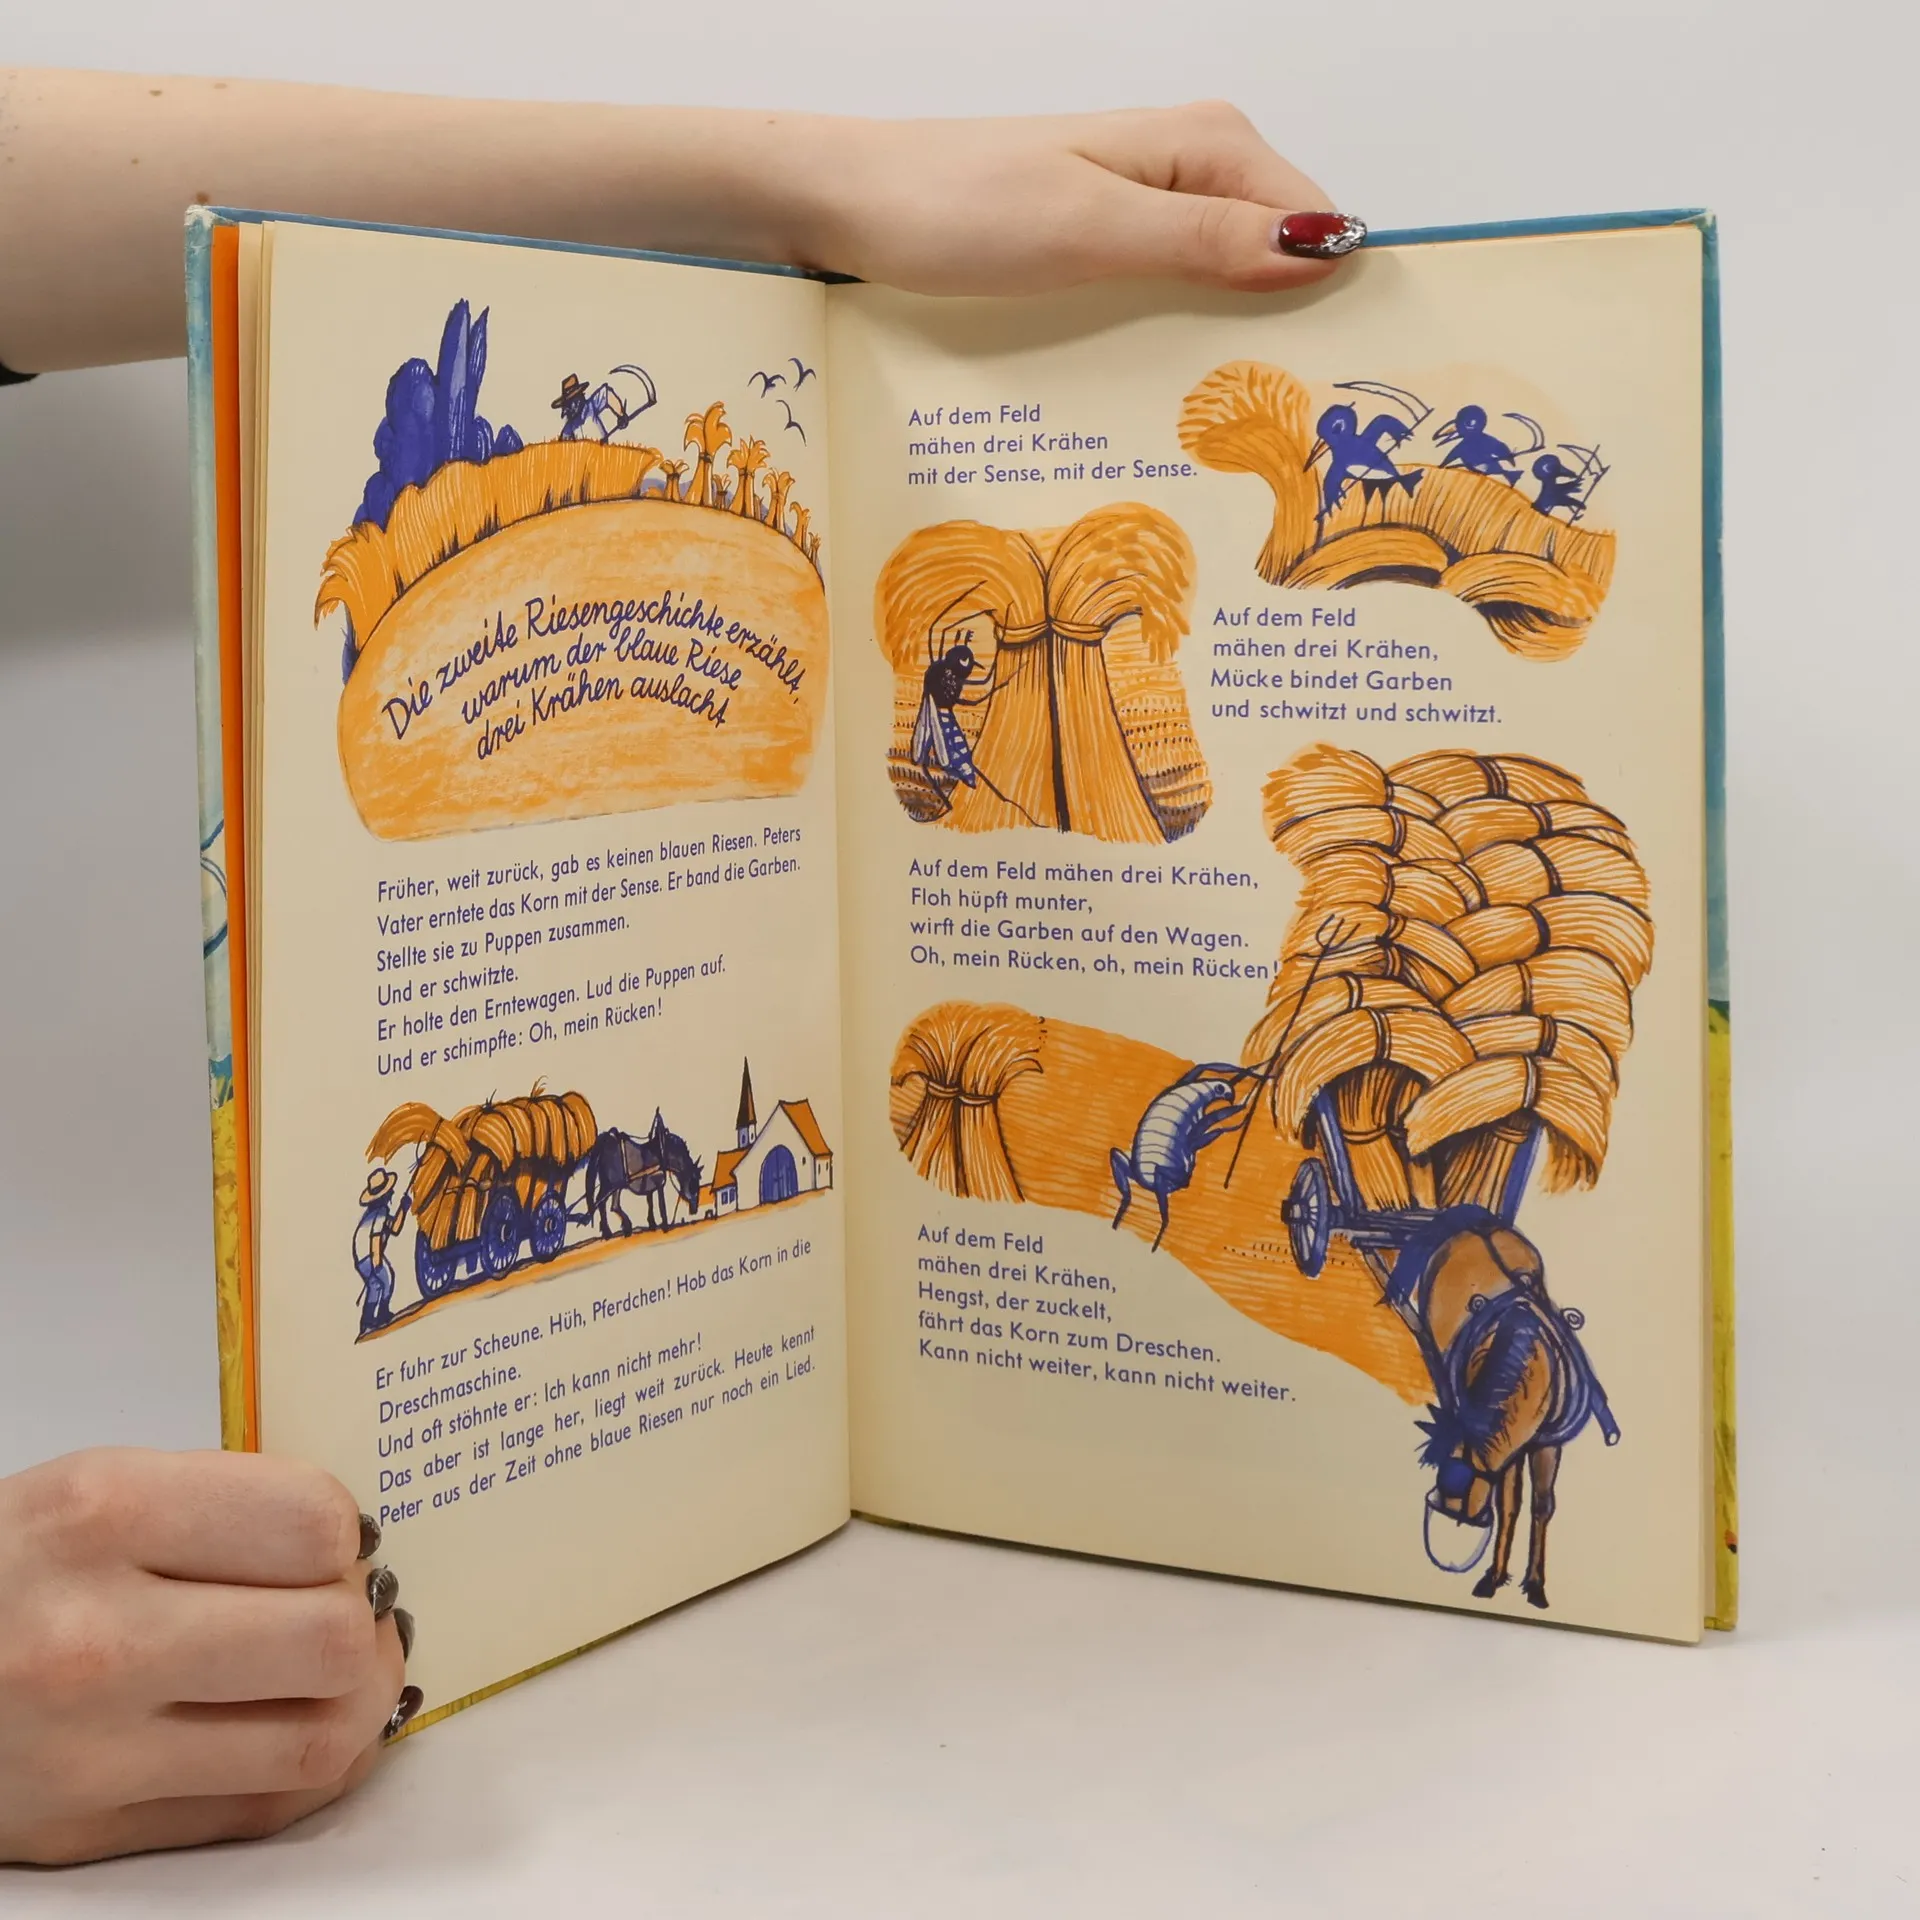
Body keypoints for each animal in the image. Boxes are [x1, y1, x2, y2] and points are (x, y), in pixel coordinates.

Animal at [1396, 1214, 1617, 1610]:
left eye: (1456, 1486)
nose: (1450, 1516)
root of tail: (1479, 1223)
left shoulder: (1545, 1444)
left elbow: (1541, 1504)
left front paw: (1536, 1585)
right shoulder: (1510, 1445)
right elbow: (1509, 1503)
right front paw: (1494, 1577)